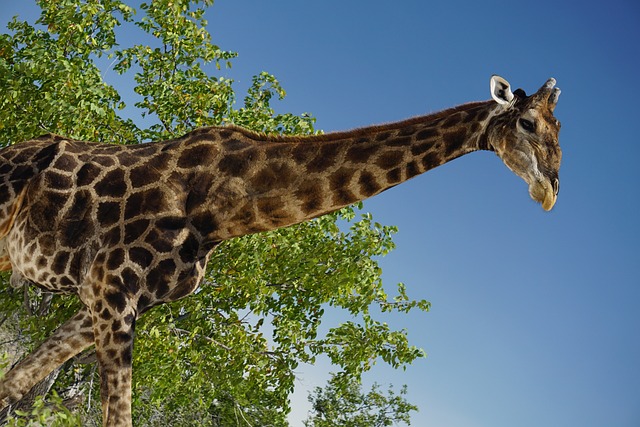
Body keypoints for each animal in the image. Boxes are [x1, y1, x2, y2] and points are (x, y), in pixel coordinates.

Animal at [0, 75, 560, 426]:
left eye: (561, 129)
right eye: (528, 123)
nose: (550, 191)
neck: (223, 210)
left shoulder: (113, 298)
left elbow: (16, 382)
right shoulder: (112, 288)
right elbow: (113, 414)